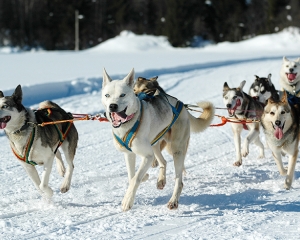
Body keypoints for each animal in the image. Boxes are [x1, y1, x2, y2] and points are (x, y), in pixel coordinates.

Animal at [102, 68, 214, 210]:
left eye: (123, 95)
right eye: (107, 95)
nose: (112, 106)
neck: (129, 122)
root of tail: (181, 105)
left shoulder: (147, 156)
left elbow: (135, 178)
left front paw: (128, 200)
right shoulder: (129, 154)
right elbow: (131, 176)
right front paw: (144, 177)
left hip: (176, 149)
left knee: (179, 179)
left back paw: (173, 200)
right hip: (155, 144)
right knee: (163, 162)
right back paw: (161, 180)